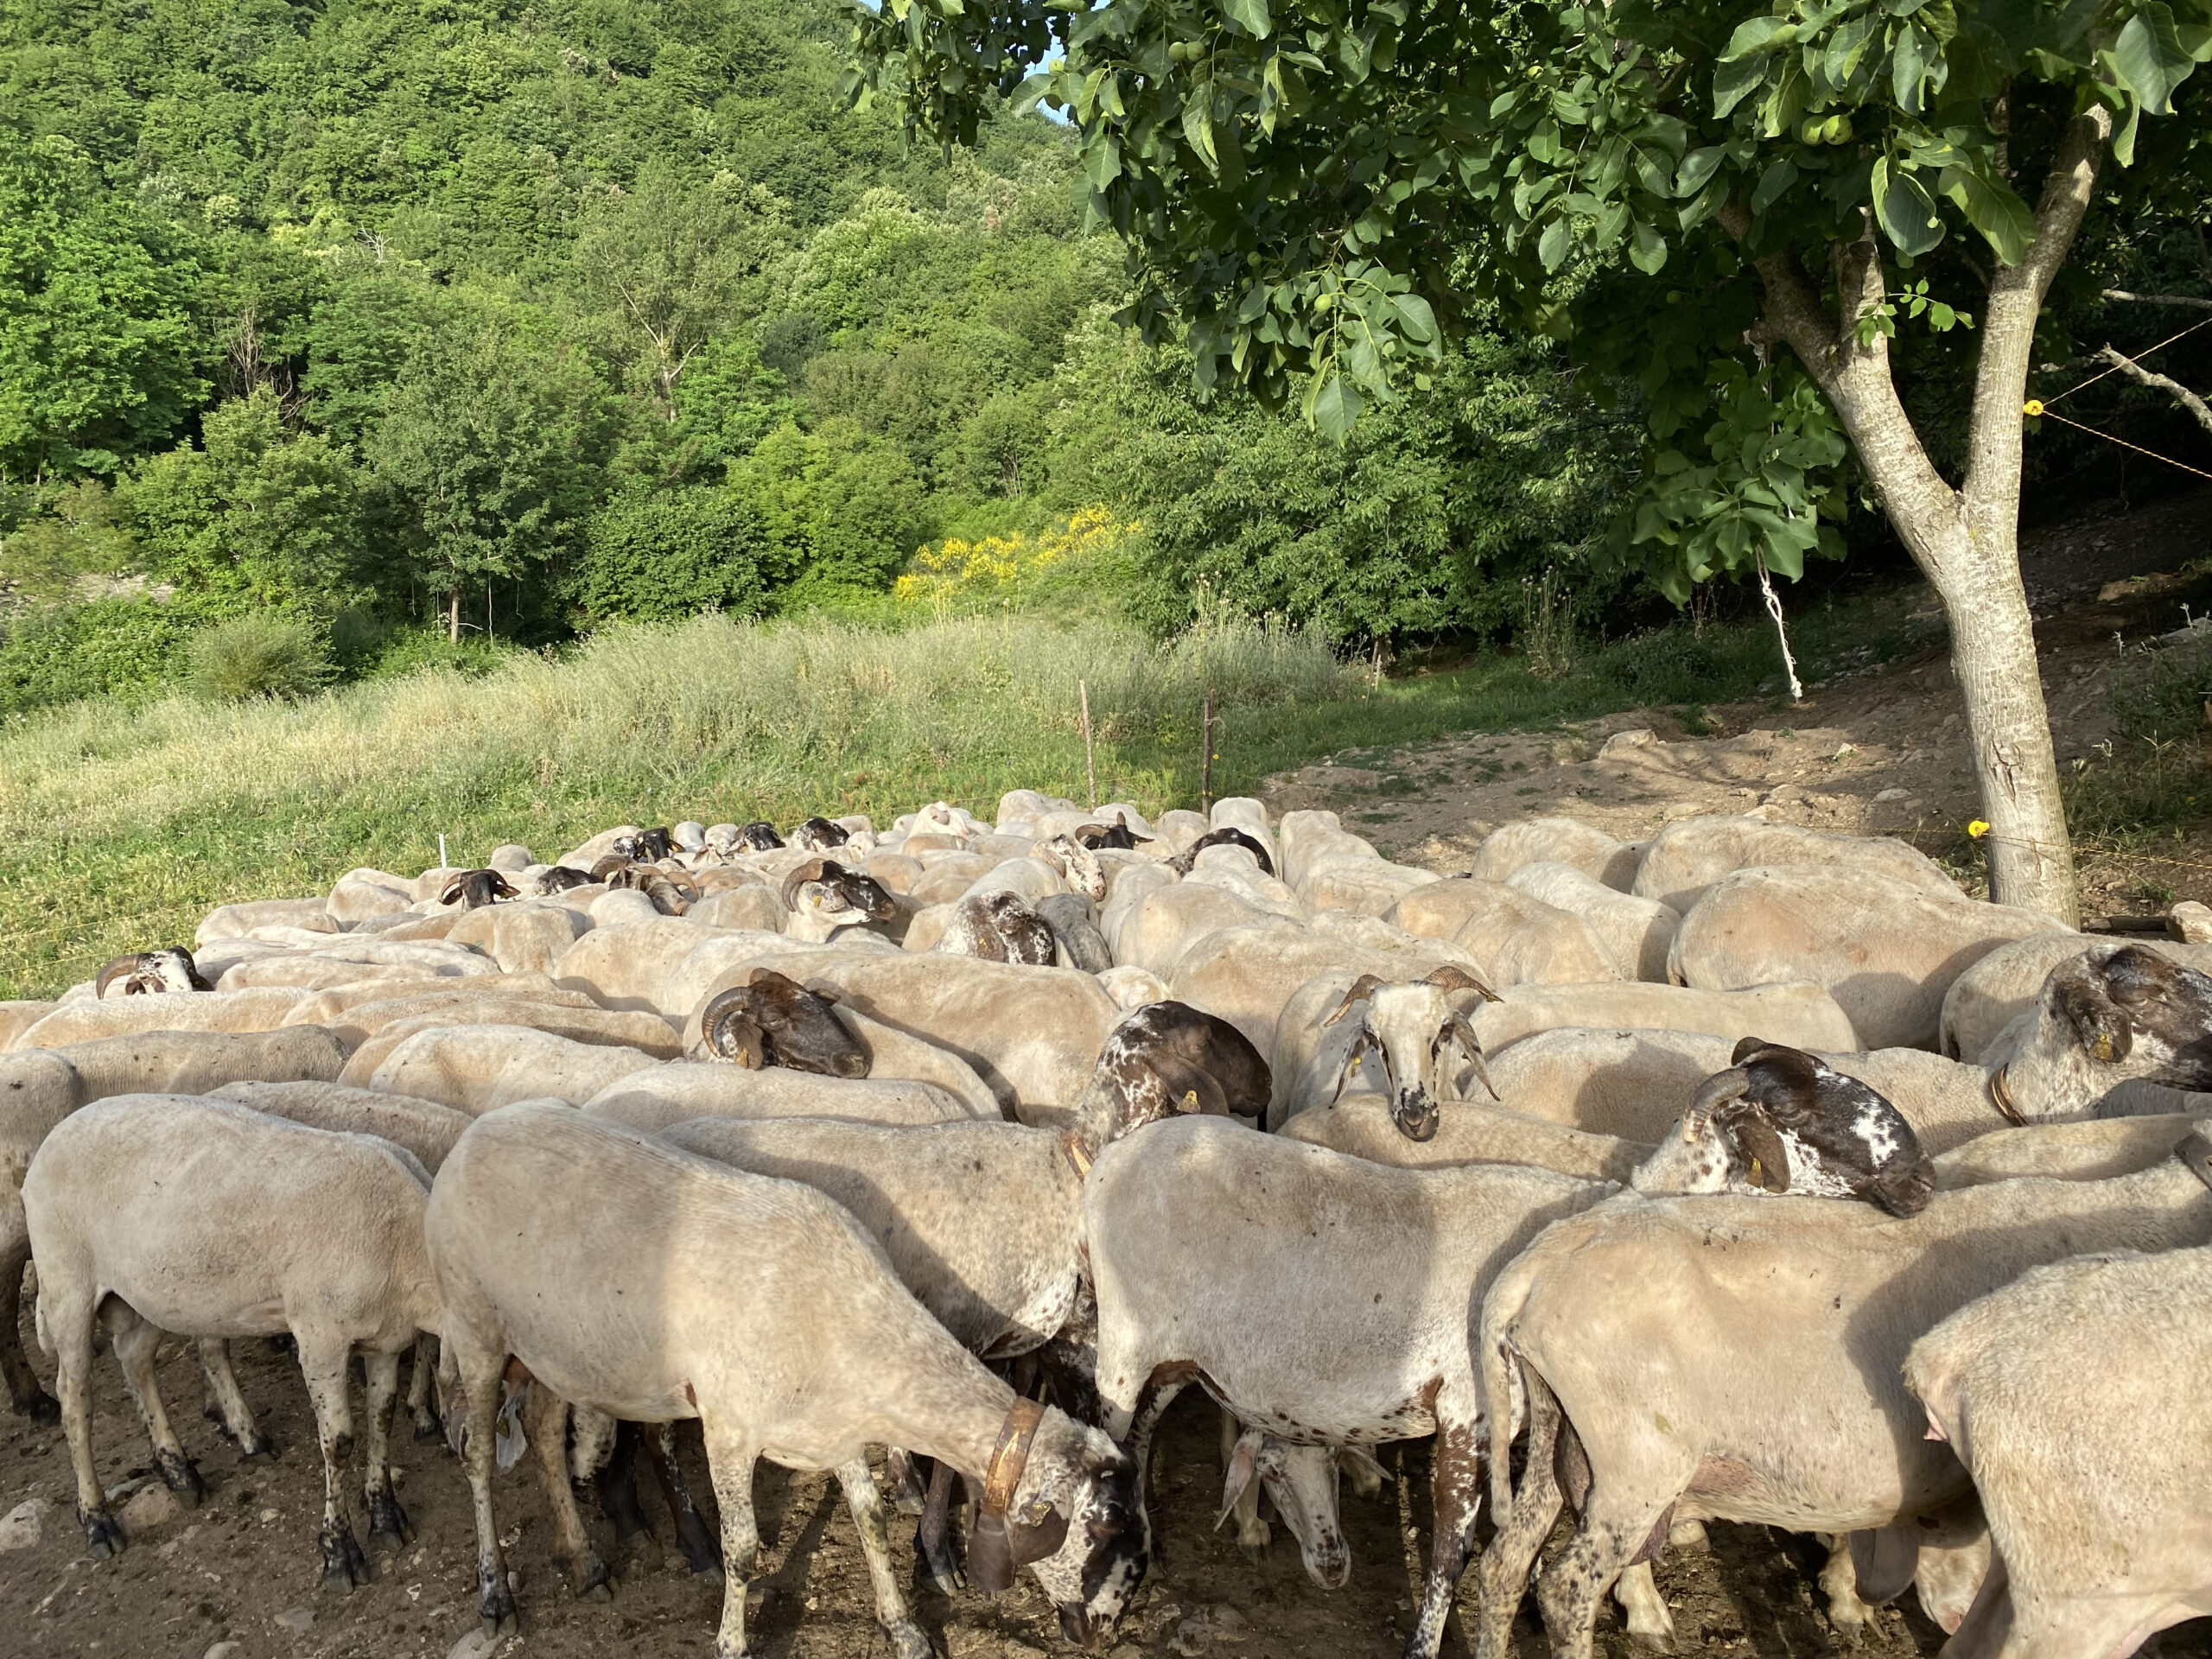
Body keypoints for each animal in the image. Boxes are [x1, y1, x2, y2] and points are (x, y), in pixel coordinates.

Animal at [25, 1095, 441, 1583]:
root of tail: (55, 1134)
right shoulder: (321, 1338)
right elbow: (338, 1443)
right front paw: (340, 1553)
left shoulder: (385, 1339)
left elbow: (382, 1417)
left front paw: (386, 1515)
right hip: (65, 1280)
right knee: (75, 1400)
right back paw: (97, 1521)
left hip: (151, 1291)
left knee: (134, 1358)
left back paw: (179, 1473)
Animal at [425, 1100, 1138, 1655]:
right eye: (1103, 1528)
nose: (1104, 1632)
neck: (854, 1323)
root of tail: (478, 1130)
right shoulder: (729, 1430)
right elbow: (742, 1549)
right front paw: (732, 1640)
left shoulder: (838, 1428)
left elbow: (871, 1517)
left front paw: (903, 1628)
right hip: (474, 1325)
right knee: (479, 1457)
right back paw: (496, 1594)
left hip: (549, 1350)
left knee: (546, 1436)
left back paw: (585, 1561)